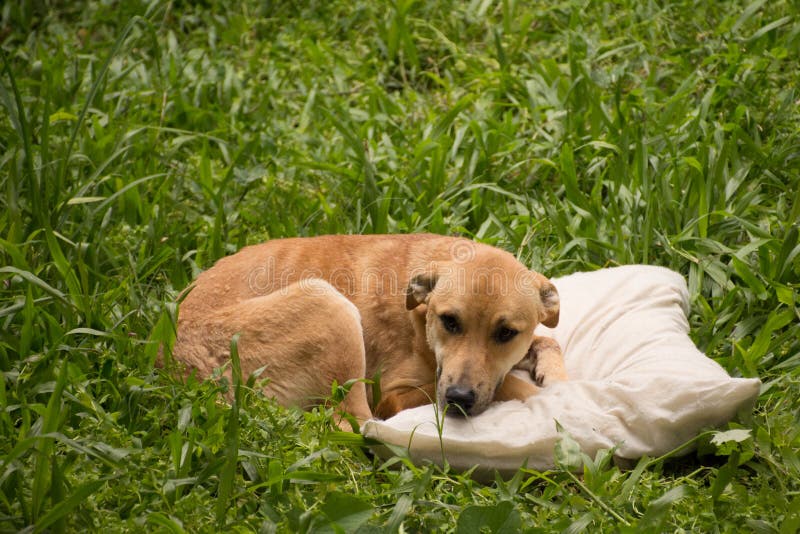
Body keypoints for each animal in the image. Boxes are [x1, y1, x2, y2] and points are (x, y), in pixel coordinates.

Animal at [173, 237, 568, 430]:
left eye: (506, 333)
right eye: (450, 321)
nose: (458, 398)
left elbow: (547, 340)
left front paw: (553, 373)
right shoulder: (391, 396)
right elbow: (509, 385)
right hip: (329, 307)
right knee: (353, 424)